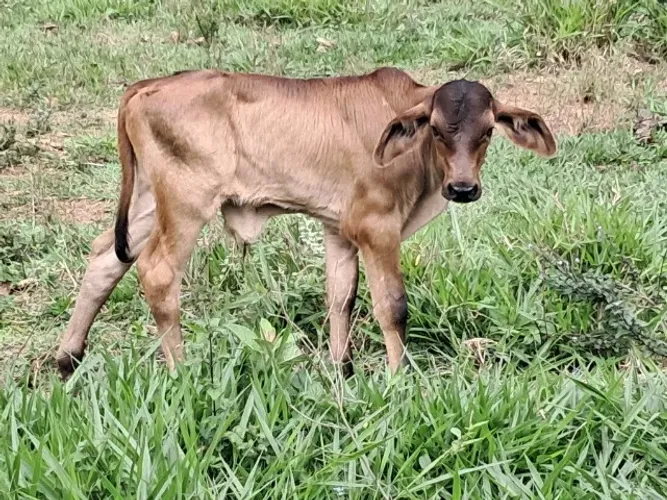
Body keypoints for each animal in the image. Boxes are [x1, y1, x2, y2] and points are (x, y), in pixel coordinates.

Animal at [55, 67, 556, 380]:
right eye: (435, 129)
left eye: (487, 131)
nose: (463, 188)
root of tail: (148, 86)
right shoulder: (377, 227)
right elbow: (392, 306)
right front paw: (400, 379)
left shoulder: (339, 229)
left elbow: (341, 298)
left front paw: (342, 372)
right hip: (184, 202)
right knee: (157, 272)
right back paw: (181, 373)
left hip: (145, 201)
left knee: (106, 257)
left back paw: (67, 359)